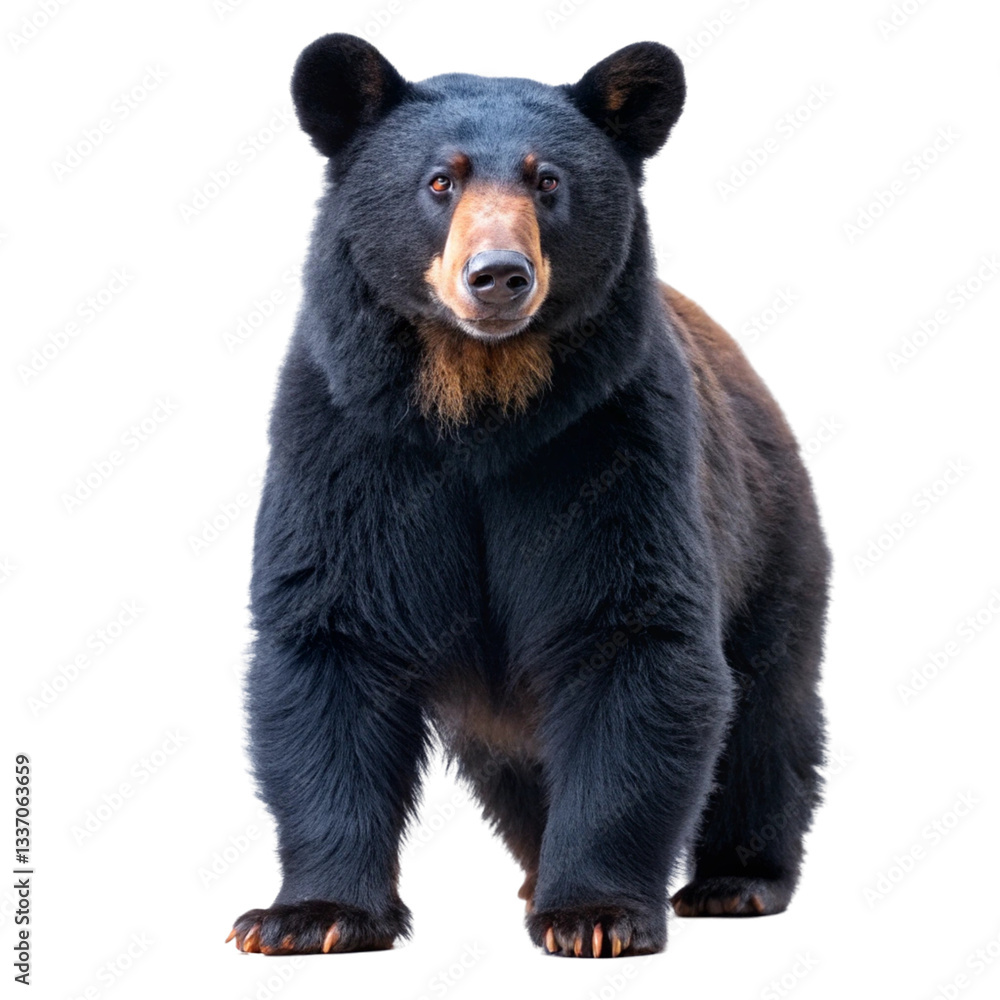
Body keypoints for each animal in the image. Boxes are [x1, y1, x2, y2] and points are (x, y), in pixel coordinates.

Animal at [227, 33, 830, 959]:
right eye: (441, 180)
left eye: (548, 180)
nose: (498, 275)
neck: (480, 400)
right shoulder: (347, 440)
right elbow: (332, 634)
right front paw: (307, 915)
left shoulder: (614, 440)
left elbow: (632, 637)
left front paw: (594, 914)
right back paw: (532, 868)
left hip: (770, 536)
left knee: (769, 709)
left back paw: (737, 879)